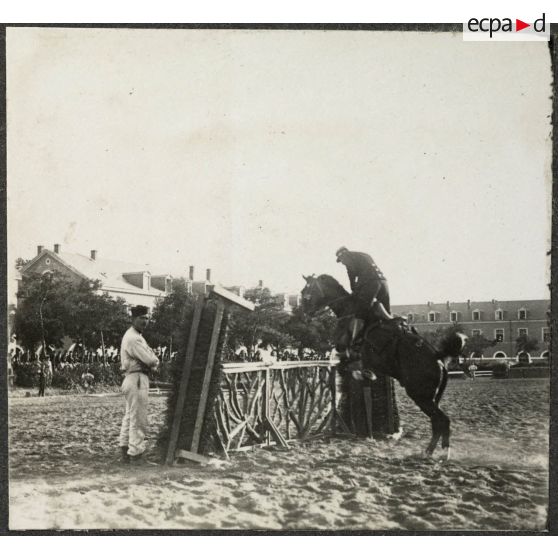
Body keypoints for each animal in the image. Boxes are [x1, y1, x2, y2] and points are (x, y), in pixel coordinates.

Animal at [302, 274, 468, 462]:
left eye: (306, 293)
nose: (305, 313)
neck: (349, 309)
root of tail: (438, 358)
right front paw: (364, 374)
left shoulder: (344, 351)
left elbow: (346, 364)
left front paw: (362, 373)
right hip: (429, 398)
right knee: (437, 422)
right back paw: (429, 452)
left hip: (420, 396)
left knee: (442, 421)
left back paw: (442, 453)